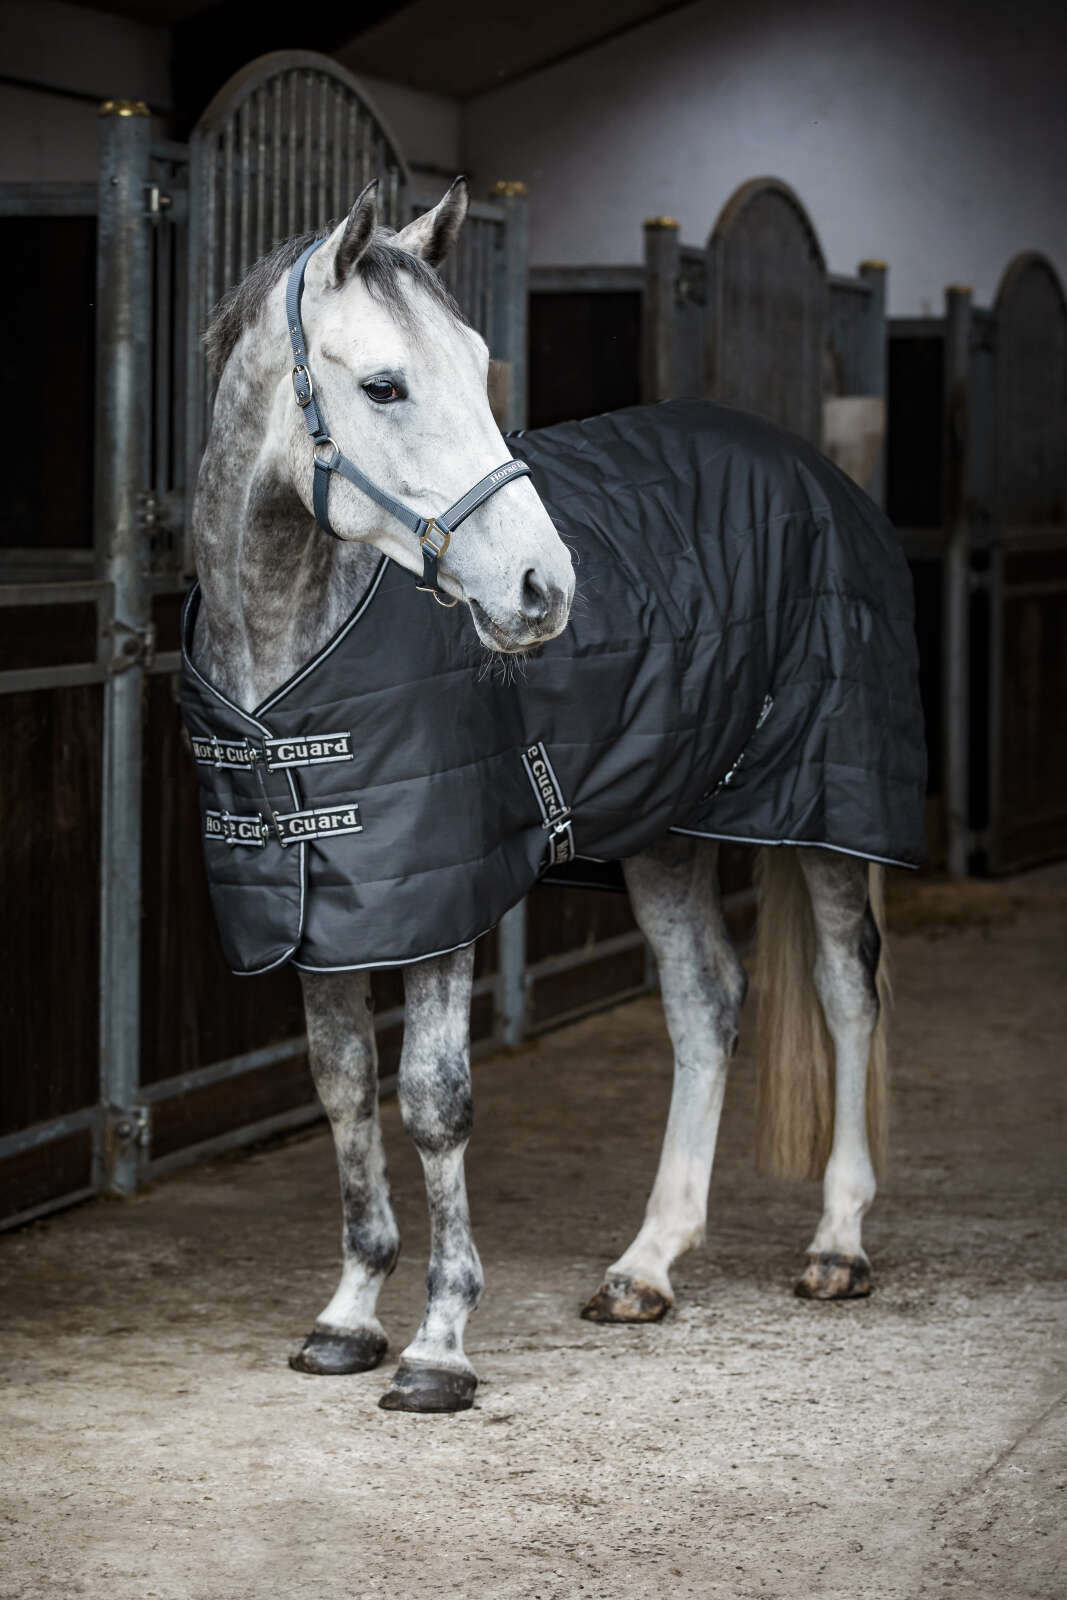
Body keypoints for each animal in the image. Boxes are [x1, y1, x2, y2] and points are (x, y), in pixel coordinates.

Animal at [186, 177, 916, 1414]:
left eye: (480, 364)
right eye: (383, 385)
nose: (543, 588)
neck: (288, 655)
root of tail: (813, 470)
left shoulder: (438, 905)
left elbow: (433, 1100)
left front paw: (439, 1345)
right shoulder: (326, 912)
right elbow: (343, 1086)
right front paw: (347, 1314)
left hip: (823, 815)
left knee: (843, 990)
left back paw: (835, 1243)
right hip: (665, 830)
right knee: (705, 1001)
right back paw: (645, 1265)